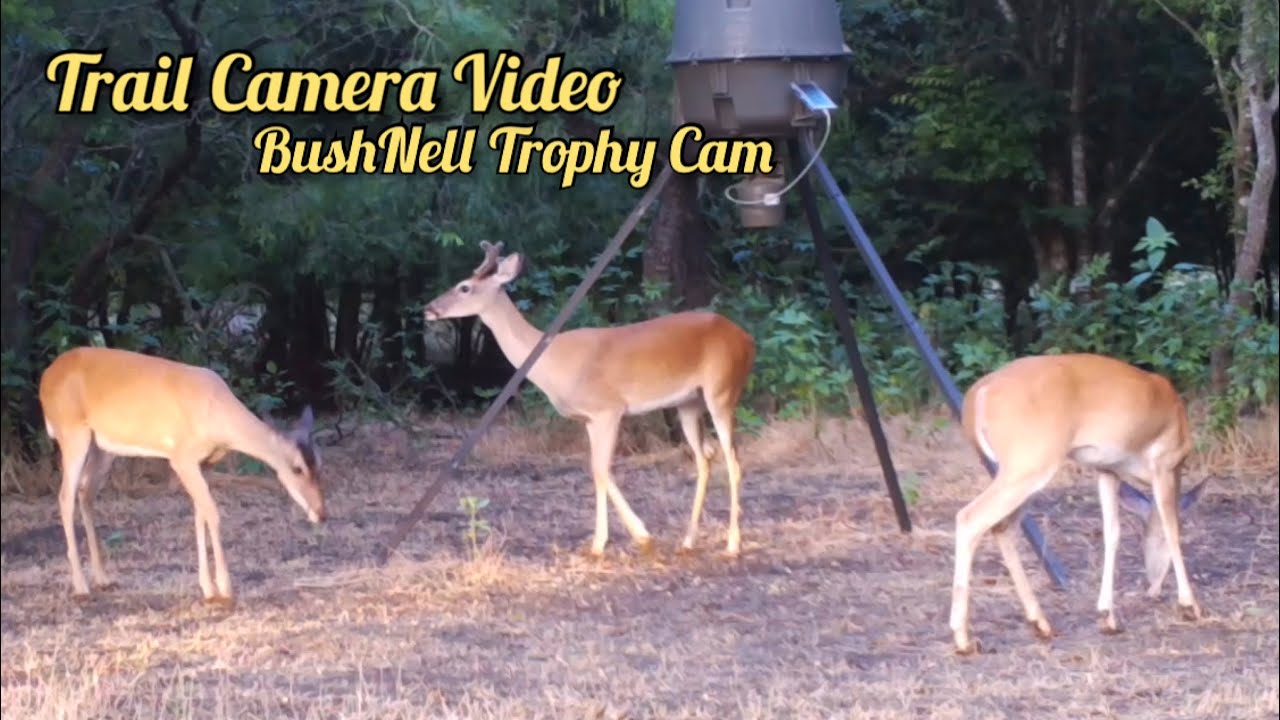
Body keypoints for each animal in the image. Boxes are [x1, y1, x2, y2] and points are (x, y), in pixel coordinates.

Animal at [38, 346, 327, 605]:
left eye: (320, 464)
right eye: (297, 468)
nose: (321, 513)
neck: (216, 414)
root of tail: (46, 378)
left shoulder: (204, 463)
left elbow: (200, 514)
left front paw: (208, 588)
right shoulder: (181, 457)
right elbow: (213, 512)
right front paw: (225, 588)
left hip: (103, 447)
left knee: (85, 493)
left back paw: (103, 578)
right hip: (72, 432)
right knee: (65, 497)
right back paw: (81, 586)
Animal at [423, 241, 757, 558]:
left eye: (464, 287)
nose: (428, 308)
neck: (553, 361)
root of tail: (746, 338)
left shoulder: (609, 408)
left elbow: (600, 469)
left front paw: (623, 540)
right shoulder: (589, 419)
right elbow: (598, 469)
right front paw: (622, 539)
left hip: (722, 390)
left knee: (733, 460)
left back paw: (732, 544)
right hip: (688, 403)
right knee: (705, 458)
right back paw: (687, 541)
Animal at [949, 352, 1208, 655]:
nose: (1152, 588)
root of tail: (978, 395)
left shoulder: (1107, 470)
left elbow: (1112, 533)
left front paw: (1107, 616)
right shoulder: (1164, 463)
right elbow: (1172, 528)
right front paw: (1190, 605)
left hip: (1017, 467)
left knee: (1001, 527)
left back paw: (1040, 622)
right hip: (1030, 460)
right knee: (970, 517)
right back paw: (963, 637)